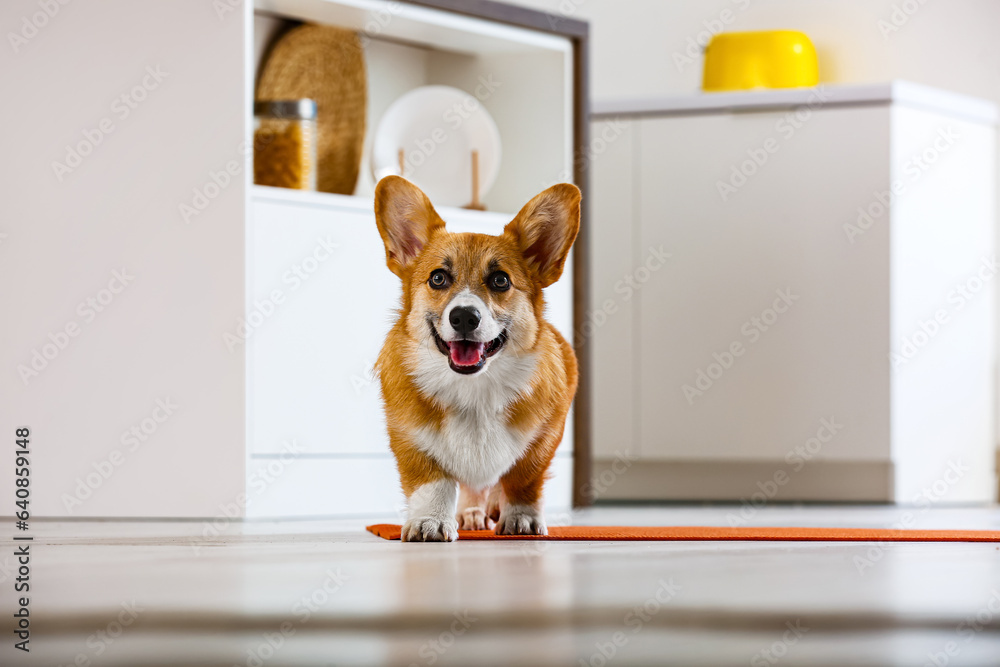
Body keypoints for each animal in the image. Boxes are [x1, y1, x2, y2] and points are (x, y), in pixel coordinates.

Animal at [374, 177, 580, 544]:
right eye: (438, 278)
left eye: (500, 280)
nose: (465, 317)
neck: (474, 387)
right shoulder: (408, 436)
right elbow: (433, 483)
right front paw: (430, 522)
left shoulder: (543, 439)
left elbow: (523, 479)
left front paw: (522, 519)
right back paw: (470, 513)